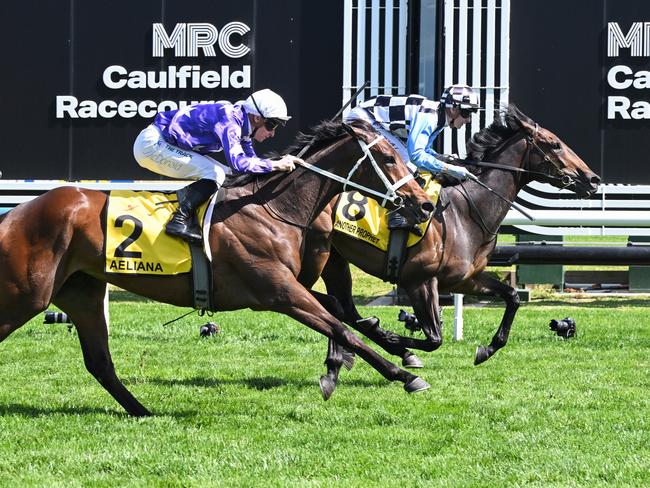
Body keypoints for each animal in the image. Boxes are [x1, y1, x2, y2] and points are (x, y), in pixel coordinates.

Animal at [0, 119, 436, 416]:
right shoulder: (279, 292)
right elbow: (341, 326)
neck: (272, 208)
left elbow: (341, 316)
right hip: (26, 295)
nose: (425, 203)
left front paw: (389, 351)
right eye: (387, 158)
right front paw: (404, 375)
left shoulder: (281, 286)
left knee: (100, 363)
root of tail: (14, 214)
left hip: (81, 294)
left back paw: (143, 412)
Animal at [296, 106, 600, 396]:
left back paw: (342, 359)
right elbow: (434, 339)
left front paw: (486, 349)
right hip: (317, 258)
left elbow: (512, 297)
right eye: (555, 144)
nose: (593, 179)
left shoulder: (465, 279)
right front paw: (397, 343)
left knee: (342, 308)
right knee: (331, 305)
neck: (466, 212)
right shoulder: (419, 280)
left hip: (335, 260)